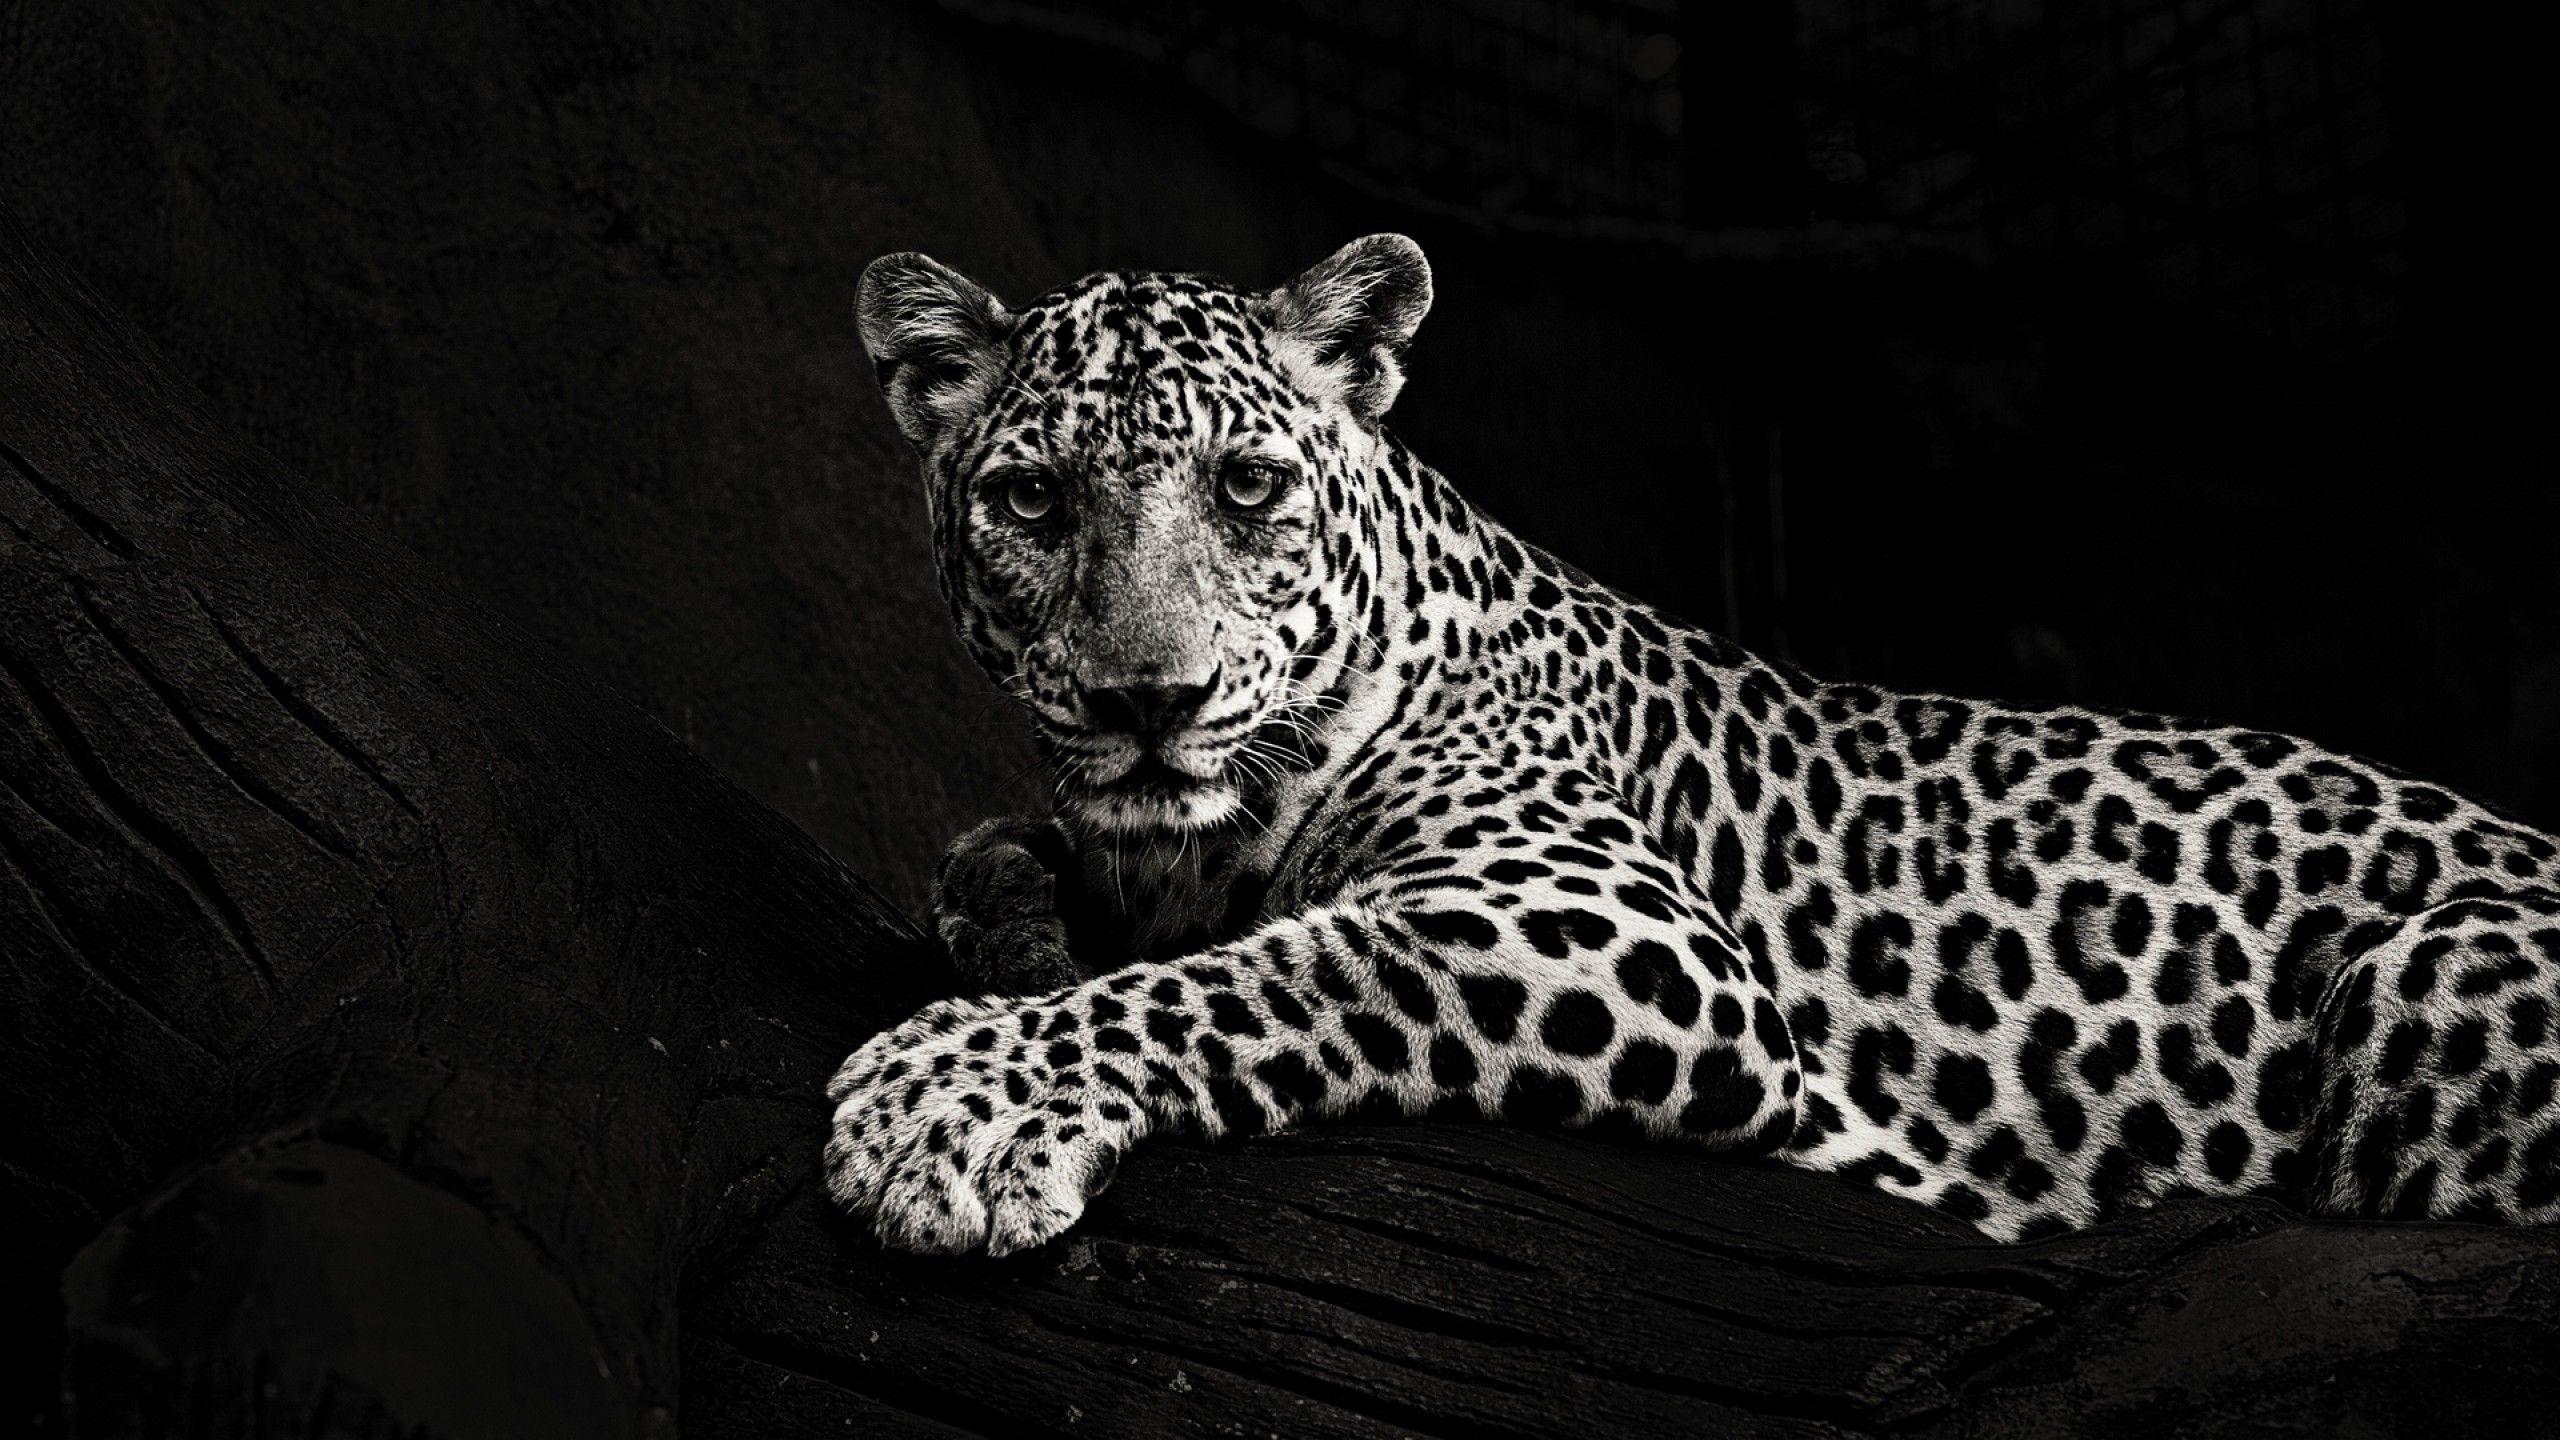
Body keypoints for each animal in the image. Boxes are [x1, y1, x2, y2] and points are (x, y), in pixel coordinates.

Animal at [825, 234, 2560, 1255]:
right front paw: (1021, 944)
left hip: (2424, 980)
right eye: (1033, 500)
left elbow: (1275, 971)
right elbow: (994, 865)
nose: (1150, 700)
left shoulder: (1605, 925)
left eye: (1247, 488)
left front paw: (947, 1102)